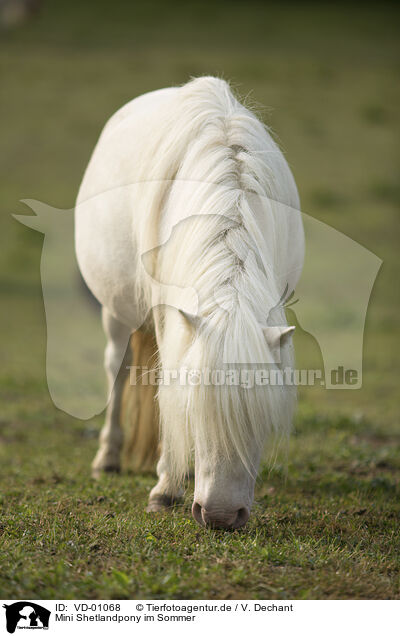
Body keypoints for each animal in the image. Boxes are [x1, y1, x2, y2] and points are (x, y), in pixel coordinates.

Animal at [75, 77, 304, 528]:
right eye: (194, 414)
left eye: (260, 423)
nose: (220, 516)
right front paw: (165, 488)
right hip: (116, 311)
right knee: (117, 370)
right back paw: (108, 457)